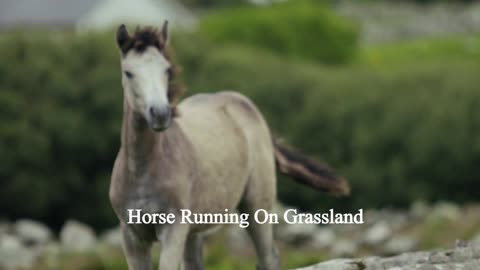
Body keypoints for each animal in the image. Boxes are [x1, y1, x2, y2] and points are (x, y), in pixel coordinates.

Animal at [110, 22, 350, 270]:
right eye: (128, 72)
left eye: (167, 70)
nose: (159, 114)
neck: (142, 170)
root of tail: (247, 107)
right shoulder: (132, 235)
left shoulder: (173, 229)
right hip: (195, 228)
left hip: (256, 206)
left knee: (268, 256)